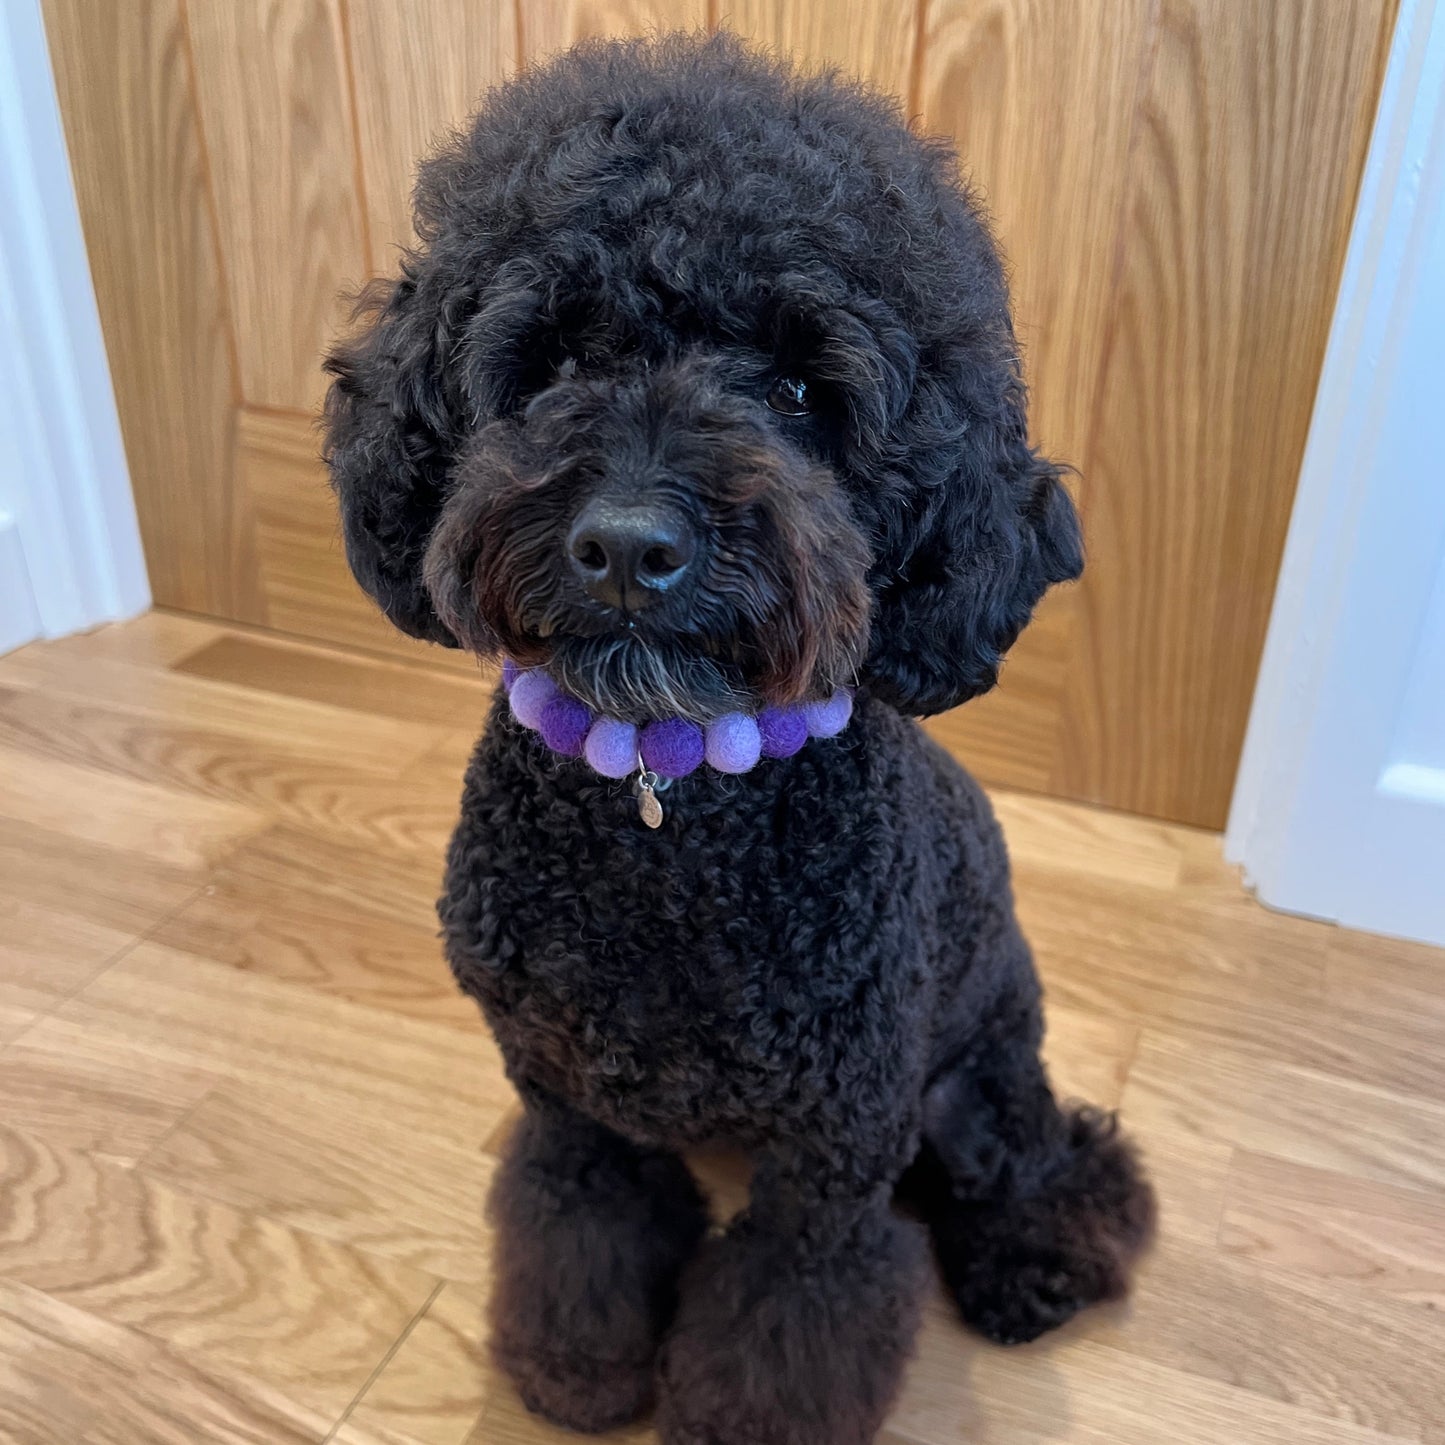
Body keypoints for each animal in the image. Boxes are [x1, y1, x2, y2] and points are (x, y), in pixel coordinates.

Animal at [325, 33, 1150, 1445]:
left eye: (800, 387)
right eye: (552, 359)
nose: (626, 545)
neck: (670, 795)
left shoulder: (828, 1160)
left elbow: (788, 1308)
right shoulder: (566, 1101)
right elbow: (576, 1221)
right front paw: (577, 1369)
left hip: (969, 1079)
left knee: (1046, 1165)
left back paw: (1028, 1268)